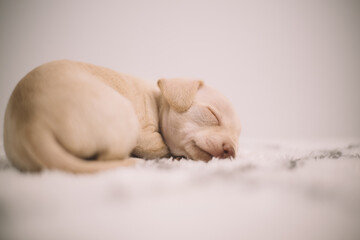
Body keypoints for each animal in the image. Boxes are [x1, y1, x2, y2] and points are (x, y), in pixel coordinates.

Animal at [3, 59, 242, 172]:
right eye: (212, 114)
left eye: (237, 139)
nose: (230, 150)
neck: (157, 100)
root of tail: (32, 123)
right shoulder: (147, 135)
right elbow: (160, 145)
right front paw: (172, 155)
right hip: (125, 118)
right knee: (107, 158)